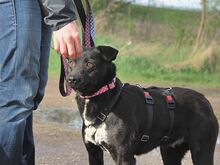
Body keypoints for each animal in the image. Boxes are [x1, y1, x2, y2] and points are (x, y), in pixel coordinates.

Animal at [68, 45, 219, 165]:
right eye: (70, 62)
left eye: (89, 64)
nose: (71, 79)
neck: (107, 102)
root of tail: (204, 100)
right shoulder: (94, 153)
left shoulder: (124, 156)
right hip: (170, 152)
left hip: (202, 151)